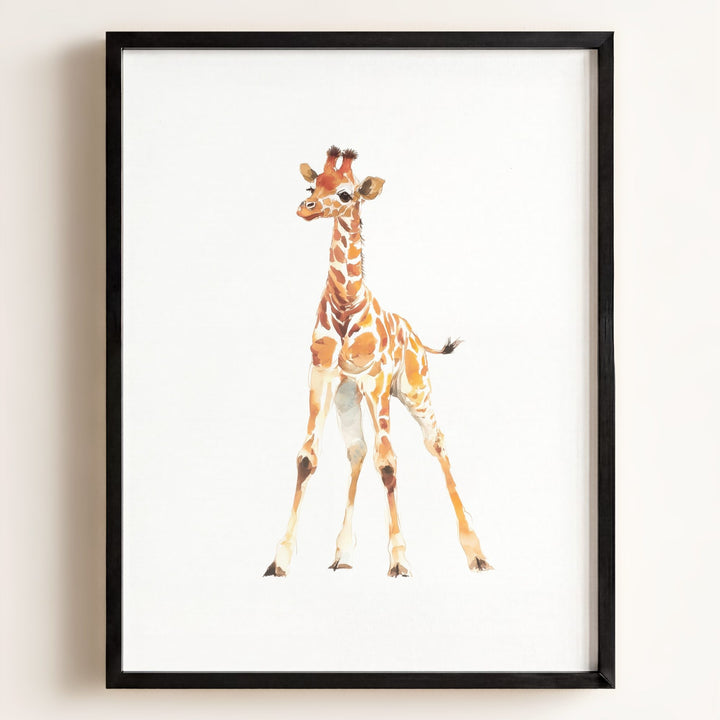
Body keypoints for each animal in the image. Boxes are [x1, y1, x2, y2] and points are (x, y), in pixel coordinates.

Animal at [264, 146, 492, 578]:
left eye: (345, 193)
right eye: (312, 186)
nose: (305, 208)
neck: (345, 304)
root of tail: (417, 337)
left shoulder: (375, 381)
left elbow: (388, 464)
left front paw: (400, 561)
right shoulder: (323, 375)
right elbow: (307, 458)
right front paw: (279, 560)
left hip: (414, 389)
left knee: (435, 442)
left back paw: (476, 553)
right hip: (348, 398)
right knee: (357, 451)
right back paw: (342, 555)